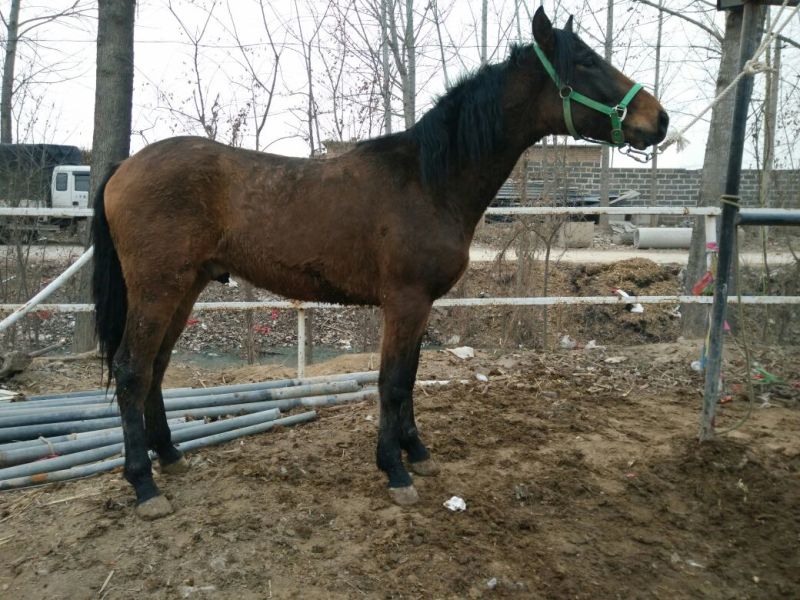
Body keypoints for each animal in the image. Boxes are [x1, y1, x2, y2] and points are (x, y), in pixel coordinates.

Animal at [92, 7, 668, 519]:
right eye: (587, 62)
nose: (658, 119)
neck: (430, 179)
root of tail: (125, 167)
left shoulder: (421, 306)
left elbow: (408, 378)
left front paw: (418, 453)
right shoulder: (405, 302)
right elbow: (391, 382)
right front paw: (395, 470)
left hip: (185, 287)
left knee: (156, 366)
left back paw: (170, 457)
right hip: (158, 288)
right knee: (132, 369)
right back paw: (144, 486)